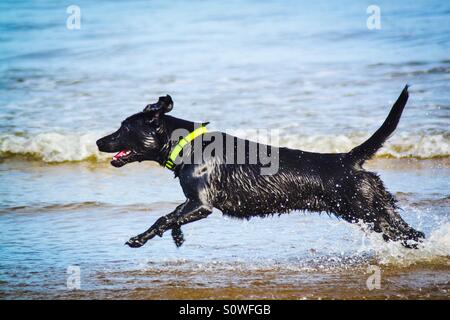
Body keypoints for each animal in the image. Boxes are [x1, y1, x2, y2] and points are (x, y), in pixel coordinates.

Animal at [96, 86, 424, 249]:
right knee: (411, 232)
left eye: (124, 128)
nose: (98, 141)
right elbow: (172, 217)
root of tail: (347, 158)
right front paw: (176, 237)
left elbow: (163, 218)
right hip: (377, 206)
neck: (186, 145)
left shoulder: (201, 204)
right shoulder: (191, 203)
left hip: (365, 211)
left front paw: (138, 239)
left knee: (408, 235)